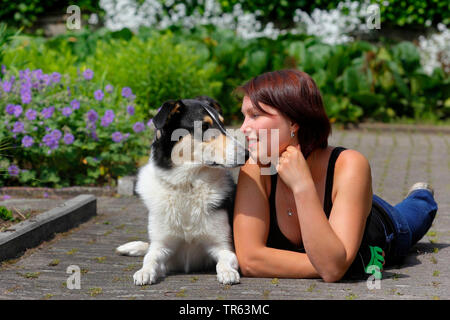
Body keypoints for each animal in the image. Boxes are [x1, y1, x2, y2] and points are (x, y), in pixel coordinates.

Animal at [116, 95, 248, 284]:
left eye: (223, 124)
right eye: (204, 127)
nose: (247, 154)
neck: (188, 185)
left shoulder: (223, 245)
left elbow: (224, 261)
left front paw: (227, 272)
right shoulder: (163, 246)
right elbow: (150, 258)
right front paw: (144, 272)